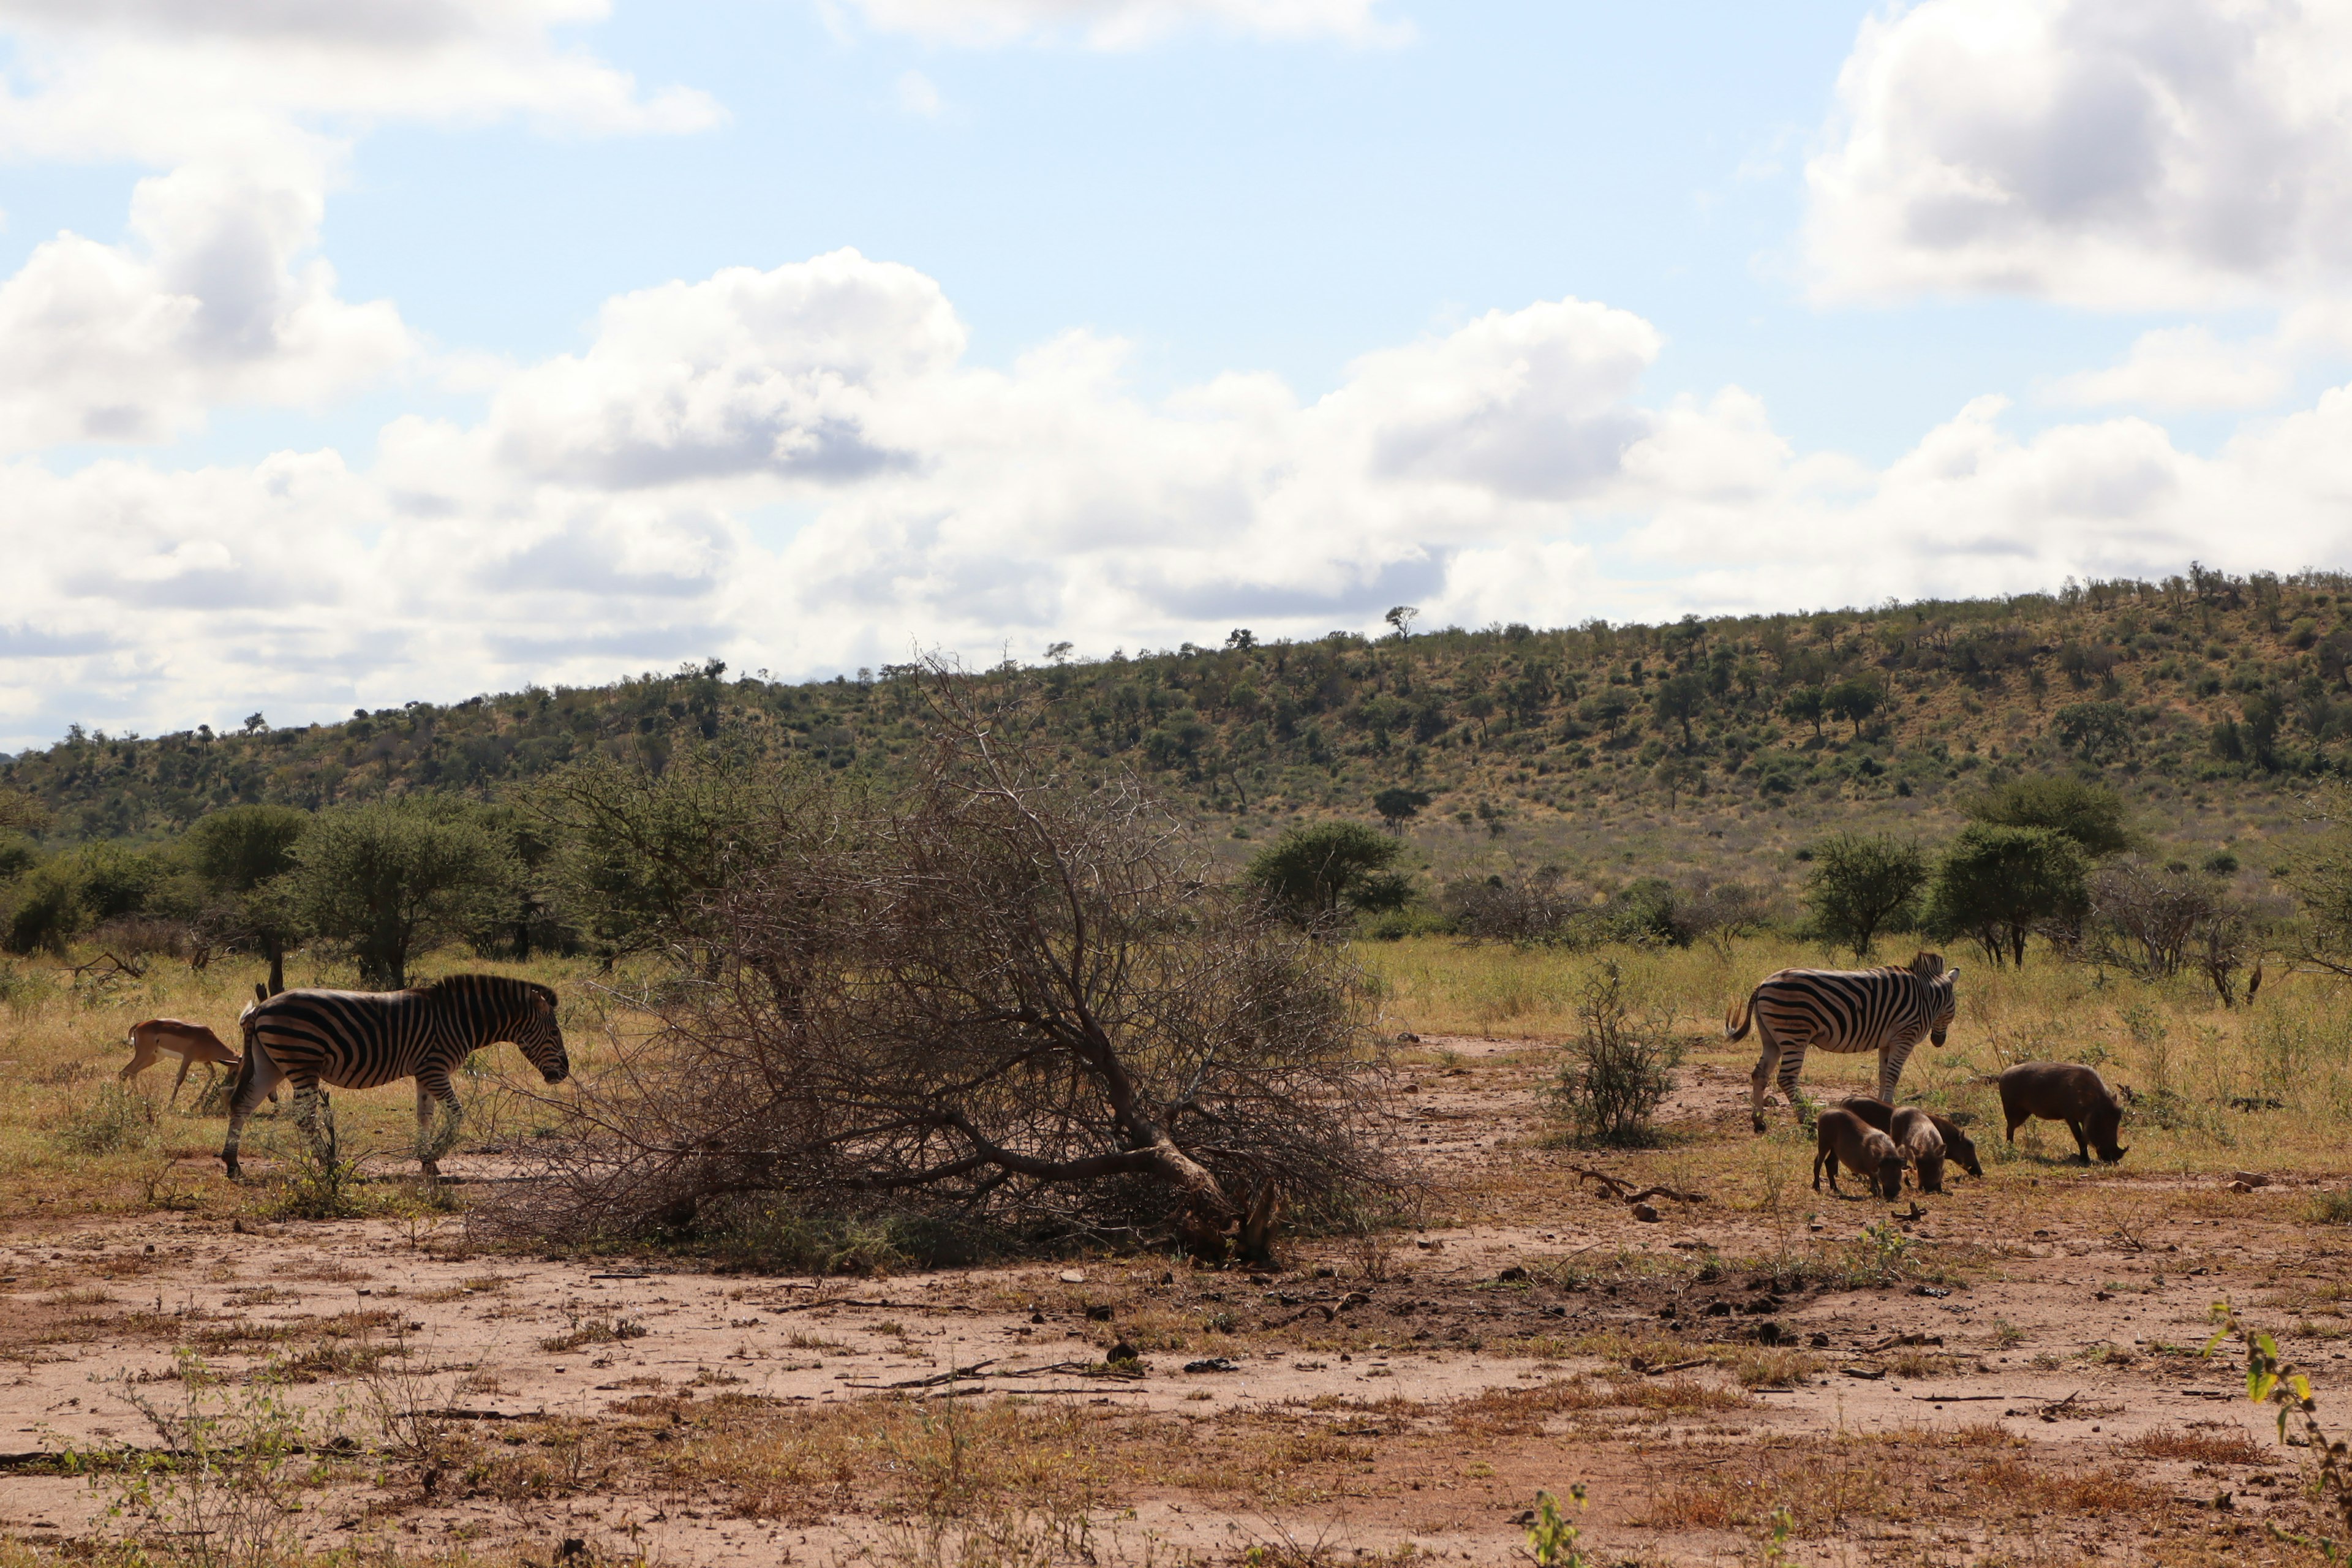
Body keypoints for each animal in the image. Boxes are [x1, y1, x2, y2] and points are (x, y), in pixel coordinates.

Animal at [222, 973, 571, 1185]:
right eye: (555, 1032)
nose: (564, 1074)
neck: (459, 1019)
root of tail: (261, 1008)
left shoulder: (426, 1072)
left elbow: (424, 1115)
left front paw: (427, 1162)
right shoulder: (435, 1067)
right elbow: (457, 1113)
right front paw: (437, 1155)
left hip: (271, 1063)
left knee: (243, 1104)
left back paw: (232, 1164)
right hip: (302, 1061)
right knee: (303, 1117)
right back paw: (329, 1162)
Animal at [1721, 949, 1956, 1133]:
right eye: (1954, 1006)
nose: (1939, 1041)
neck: (1928, 995)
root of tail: (1762, 984)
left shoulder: (1887, 1042)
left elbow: (1883, 1075)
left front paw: (1882, 1107)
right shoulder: (1904, 1037)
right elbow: (1893, 1075)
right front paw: (1890, 1107)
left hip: (1771, 1037)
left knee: (1760, 1074)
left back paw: (1759, 1121)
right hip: (1794, 1033)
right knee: (1786, 1078)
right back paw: (1806, 1120)